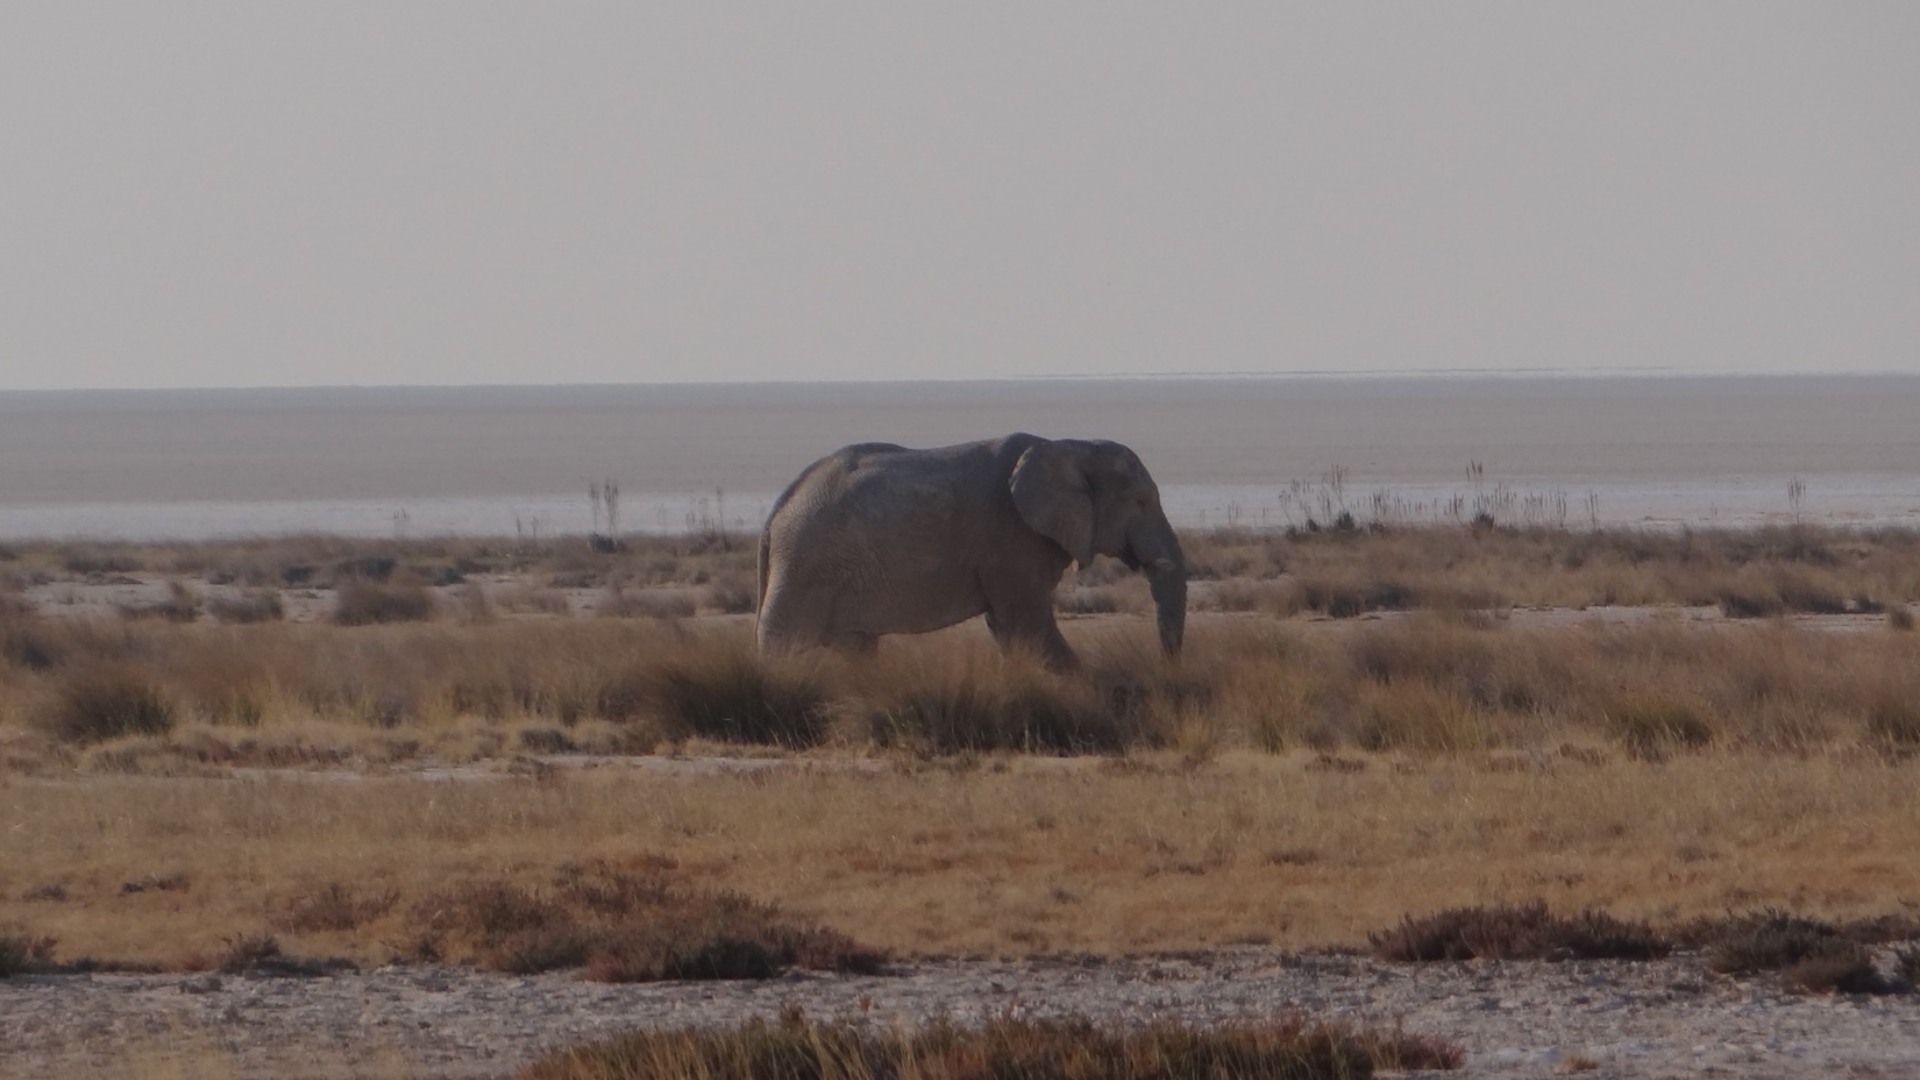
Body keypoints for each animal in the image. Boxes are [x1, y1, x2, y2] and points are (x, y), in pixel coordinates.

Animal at [755, 433, 1186, 670]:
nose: (1166, 666)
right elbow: (1028, 624)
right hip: (806, 565)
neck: (1070, 446)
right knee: (780, 644)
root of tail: (775, 512)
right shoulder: (1009, 534)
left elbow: (1009, 629)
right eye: (1141, 501)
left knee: (857, 648)